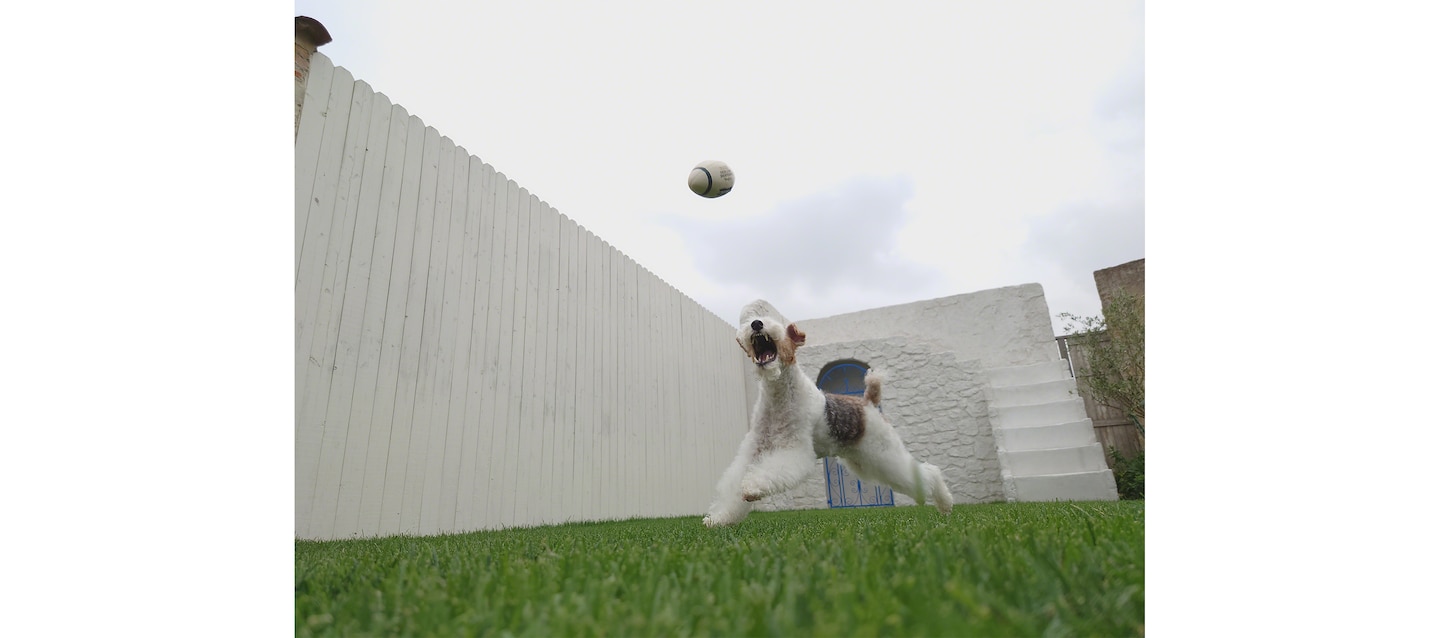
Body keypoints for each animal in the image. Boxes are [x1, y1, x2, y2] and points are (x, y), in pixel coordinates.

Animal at [699, 300, 950, 529]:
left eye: (778, 325)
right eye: (752, 319)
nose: (757, 324)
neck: (778, 396)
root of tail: (868, 401)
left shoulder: (795, 450)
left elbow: (769, 473)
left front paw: (751, 488)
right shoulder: (753, 451)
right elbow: (732, 485)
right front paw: (719, 519)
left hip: (885, 453)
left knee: (929, 472)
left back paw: (946, 504)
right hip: (865, 461)